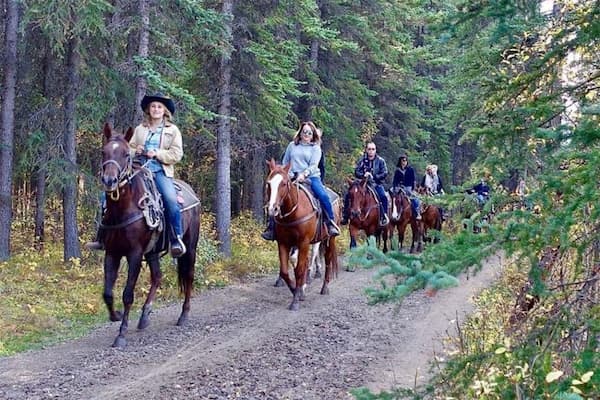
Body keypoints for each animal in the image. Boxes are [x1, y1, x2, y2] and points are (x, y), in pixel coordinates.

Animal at [98, 123, 200, 348]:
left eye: (125, 154)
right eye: (104, 152)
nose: (109, 181)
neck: (123, 209)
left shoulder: (135, 253)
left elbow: (128, 294)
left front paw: (121, 334)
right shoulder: (112, 253)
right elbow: (108, 293)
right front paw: (116, 315)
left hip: (190, 246)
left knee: (188, 275)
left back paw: (184, 315)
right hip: (152, 251)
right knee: (157, 277)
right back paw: (144, 316)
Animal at [264, 159, 338, 310]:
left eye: (284, 183)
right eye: (269, 183)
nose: (273, 209)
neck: (294, 211)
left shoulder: (303, 242)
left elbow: (299, 269)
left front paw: (295, 300)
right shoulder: (284, 243)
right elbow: (285, 270)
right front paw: (296, 290)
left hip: (329, 239)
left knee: (327, 260)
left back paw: (324, 288)